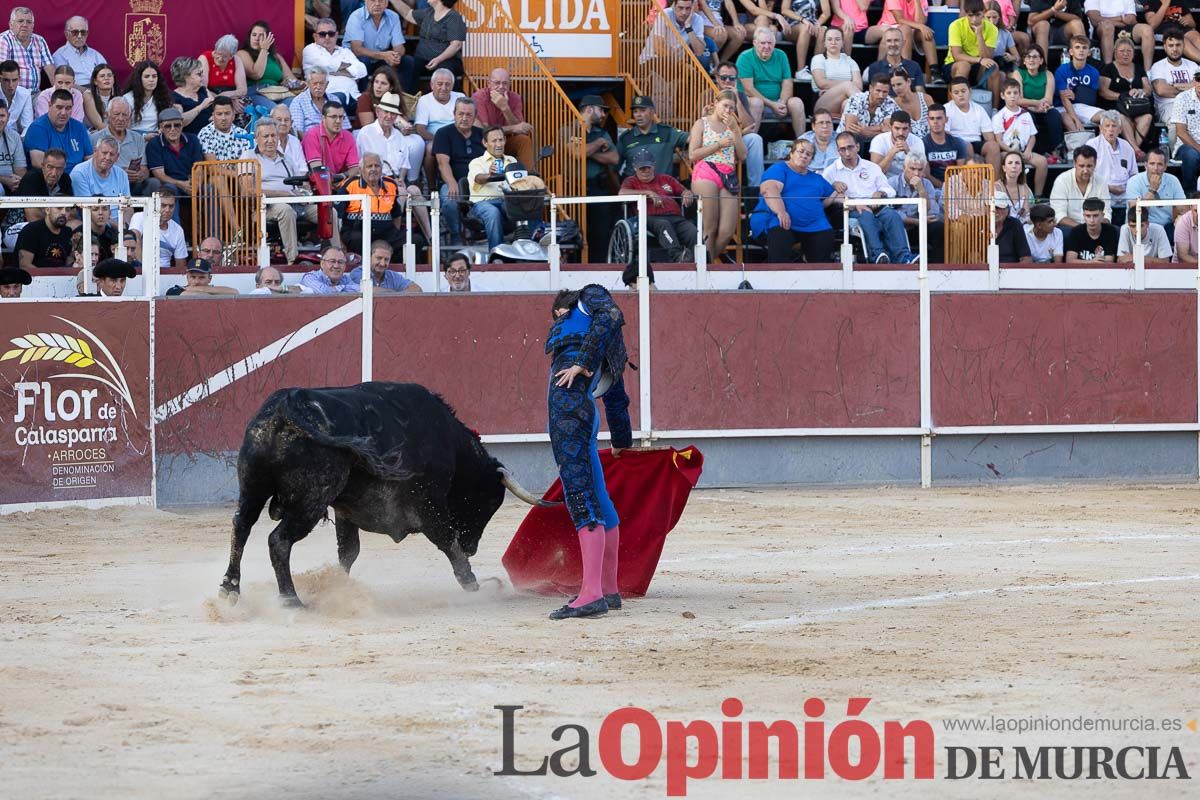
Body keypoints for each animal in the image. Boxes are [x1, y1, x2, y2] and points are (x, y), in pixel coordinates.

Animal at [218, 381, 549, 606]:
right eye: (488, 503)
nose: (472, 548)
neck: (450, 445)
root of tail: (287, 405)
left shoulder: (345, 509)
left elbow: (348, 552)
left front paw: (338, 587)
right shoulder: (429, 506)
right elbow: (447, 541)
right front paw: (472, 583)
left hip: (252, 487)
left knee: (241, 526)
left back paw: (230, 588)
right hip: (310, 500)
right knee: (279, 540)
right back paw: (290, 599)